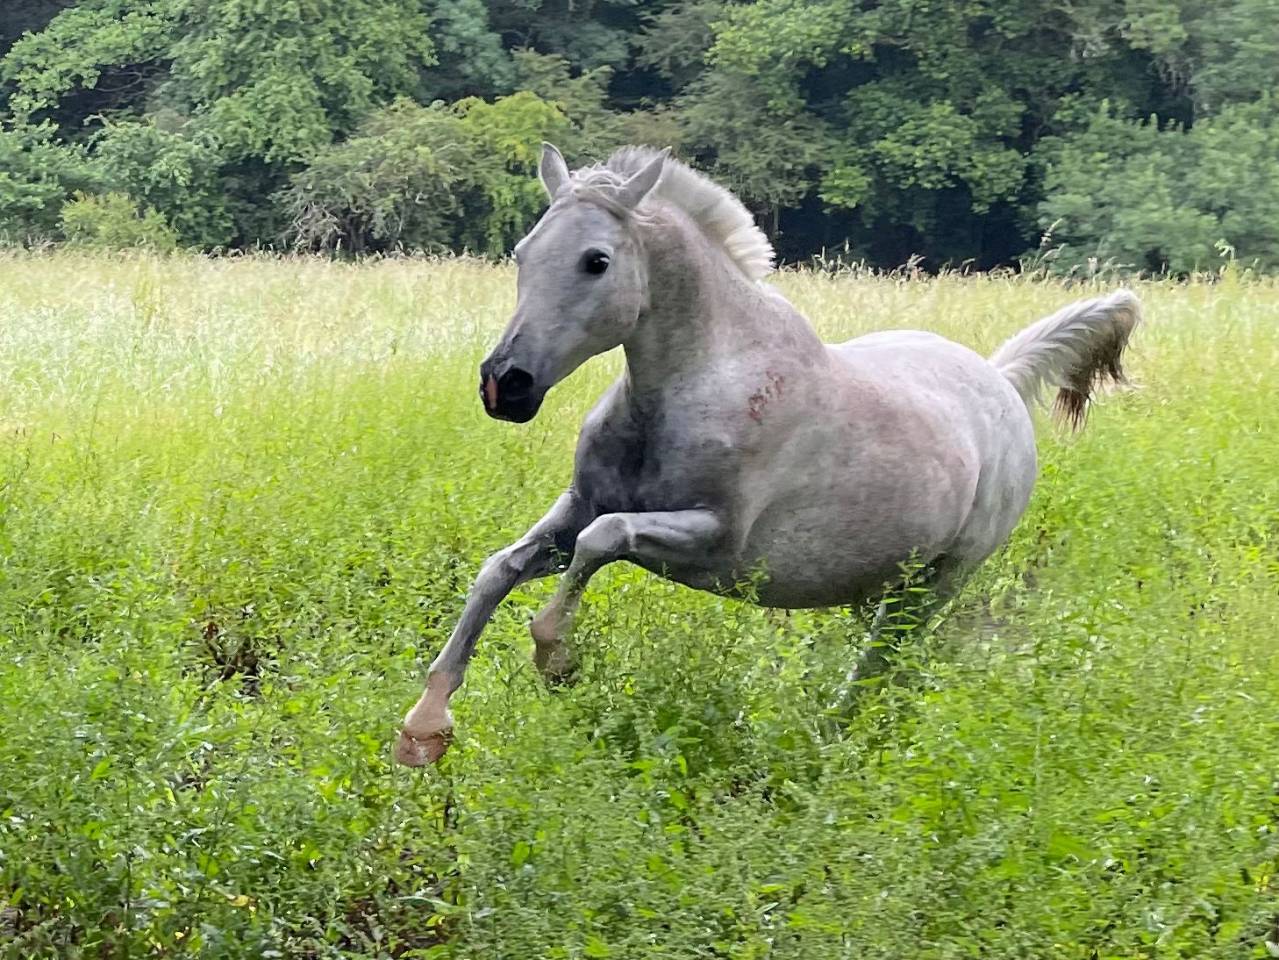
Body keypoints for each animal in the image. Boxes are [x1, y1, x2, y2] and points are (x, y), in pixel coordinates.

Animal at [395, 143, 1141, 766]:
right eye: (523, 251)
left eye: (596, 260)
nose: (505, 384)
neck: (691, 390)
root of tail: (1002, 381)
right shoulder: (578, 506)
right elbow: (499, 569)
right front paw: (424, 728)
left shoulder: (714, 541)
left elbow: (602, 542)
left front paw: (557, 658)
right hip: (879, 582)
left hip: (937, 584)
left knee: (886, 666)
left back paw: (834, 746)